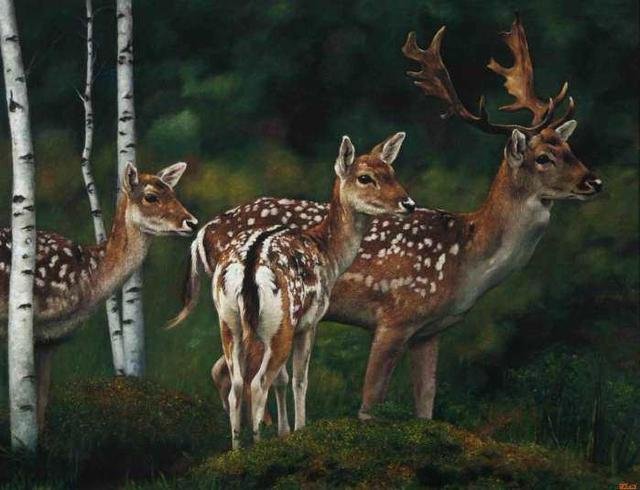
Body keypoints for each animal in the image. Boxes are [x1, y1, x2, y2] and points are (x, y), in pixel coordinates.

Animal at [0, 162, 197, 432]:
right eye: (151, 196)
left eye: (173, 192)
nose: (192, 222)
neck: (88, 277)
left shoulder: (51, 338)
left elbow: (41, 402)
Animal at [168, 133, 415, 448]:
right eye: (365, 177)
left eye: (391, 171)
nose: (408, 203)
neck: (327, 253)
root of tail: (247, 271)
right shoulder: (309, 321)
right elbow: (300, 379)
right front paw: (299, 429)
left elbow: (283, 379)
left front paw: (285, 432)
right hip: (279, 323)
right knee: (257, 382)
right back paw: (256, 445)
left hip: (229, 320)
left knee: (236, 384)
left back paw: (236, 449)